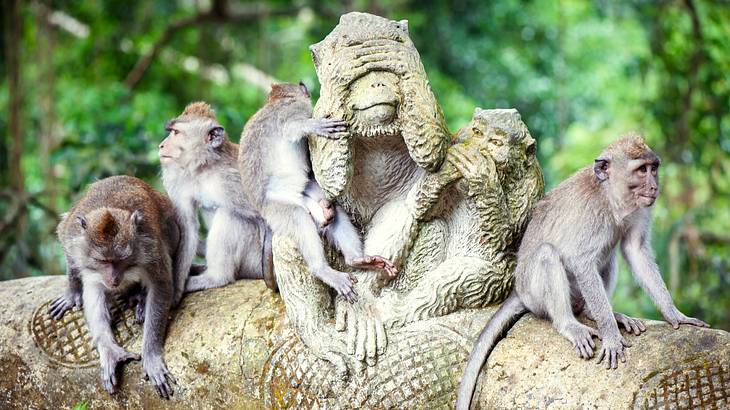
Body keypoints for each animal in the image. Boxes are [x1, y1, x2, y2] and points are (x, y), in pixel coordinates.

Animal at [50, 177, 181, 400]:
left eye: (121, 260)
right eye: (102, 260)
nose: (113, 279)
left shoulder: (151, 248)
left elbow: (161, 285)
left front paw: (151, 355)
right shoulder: (73, 236)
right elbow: (70, 252)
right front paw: (72, 292)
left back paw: (139, 298)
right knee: (94, 286)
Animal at [237, 81, 398, 302]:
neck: (277, 100)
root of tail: (262, 210)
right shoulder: (292, 109)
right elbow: (290, 128)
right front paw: (316, 126)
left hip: (303, 195)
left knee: (330, 209)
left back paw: (357, 259)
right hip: (276, 209)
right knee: (298, 218)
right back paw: (322, 269)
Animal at [456, 135, 704, 410]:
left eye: (654, 168)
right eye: (642, 170)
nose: (654, 187)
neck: (610, 197)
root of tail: (518, 292)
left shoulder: (639, 208)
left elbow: (635, 249)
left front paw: (674, 314)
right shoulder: (592, 214)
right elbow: (582, 261)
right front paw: (611, 336)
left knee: (608, 255)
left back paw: (594, 312)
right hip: (534, 294)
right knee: (547, 254)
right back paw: (570, 324)